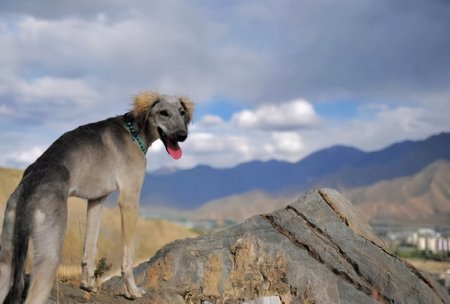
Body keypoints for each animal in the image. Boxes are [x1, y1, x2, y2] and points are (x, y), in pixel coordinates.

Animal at [0, 92, 192, 304]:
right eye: (163, 113)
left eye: (182, 112)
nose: (183, 135)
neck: (133, 132)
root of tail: (30, 184)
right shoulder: (129, 199)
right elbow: (128, 255)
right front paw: (132, 291)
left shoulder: (96, 200)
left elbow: (90, 247)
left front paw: (88, 284)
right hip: (49, 254)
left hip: (7, 259)